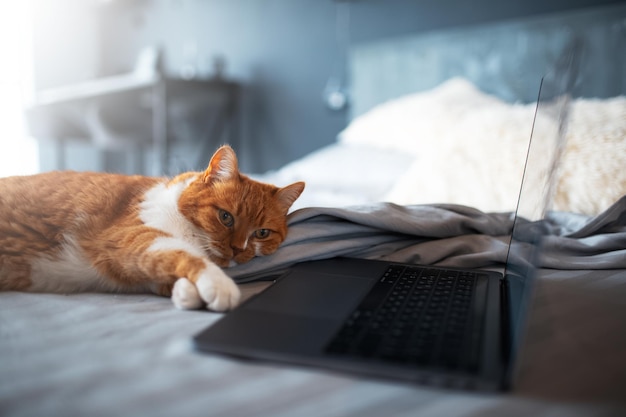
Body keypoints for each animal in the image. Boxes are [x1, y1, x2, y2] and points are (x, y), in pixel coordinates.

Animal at [0, 145, 302, 310]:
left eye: (261, 233)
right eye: (226, 217)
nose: (238, 249)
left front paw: (186, 292)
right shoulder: (133, 238)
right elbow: (186, 256)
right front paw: (219, 285)